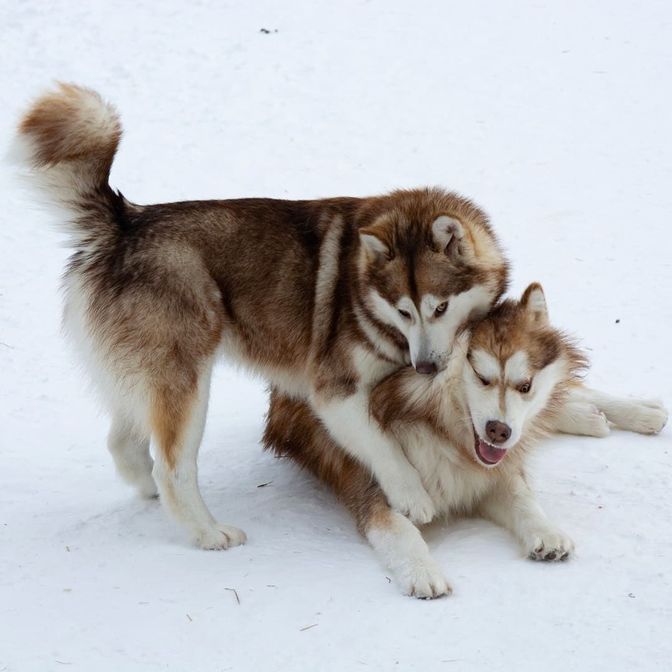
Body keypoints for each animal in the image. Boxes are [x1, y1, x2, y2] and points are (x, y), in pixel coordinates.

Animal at [14, 85, 510, 544]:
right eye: (404, 311)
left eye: (438, 308)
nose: (423, 366)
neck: (365, 297)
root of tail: (126, 222)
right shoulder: (333, 393)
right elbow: (383, 444)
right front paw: (413, 496)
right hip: (188, 381)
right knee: (172, 468)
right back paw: (208, 533)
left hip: (144, 375)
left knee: (122, 441)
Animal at [266, 284, 668, 600]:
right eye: (481, 376)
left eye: (524, 385)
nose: (498, 431)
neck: (443, 431)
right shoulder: (377, 484)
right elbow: (401, 530)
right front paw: (423, 572)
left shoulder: (493, 472)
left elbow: (523, 499)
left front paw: (547, 532)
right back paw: (592, 417)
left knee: (568, 392)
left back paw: (640, 411)